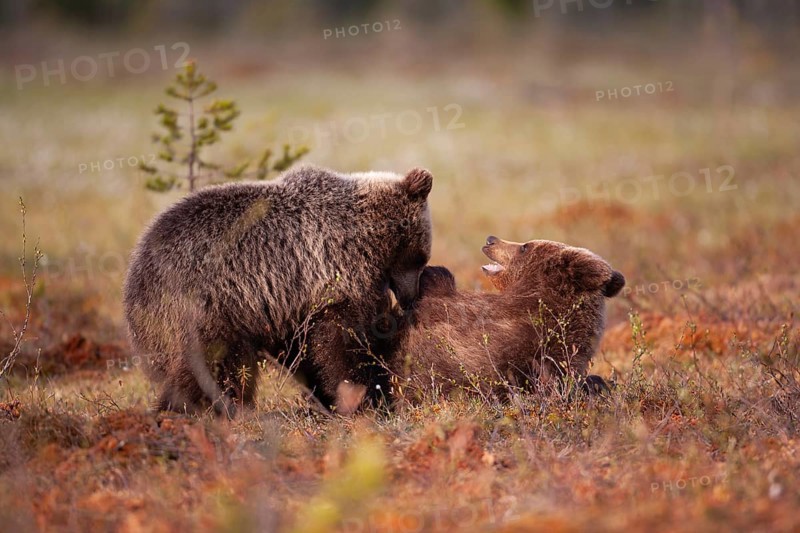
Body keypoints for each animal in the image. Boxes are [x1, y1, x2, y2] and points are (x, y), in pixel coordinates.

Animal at [123, 165, 434, 415]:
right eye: (421, 257)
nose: (410, 297)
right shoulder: (333, 273)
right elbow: (341, 345)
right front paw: (364, 397)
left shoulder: (290, 303)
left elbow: (305, 350)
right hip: (205, 307)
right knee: (213, 366)